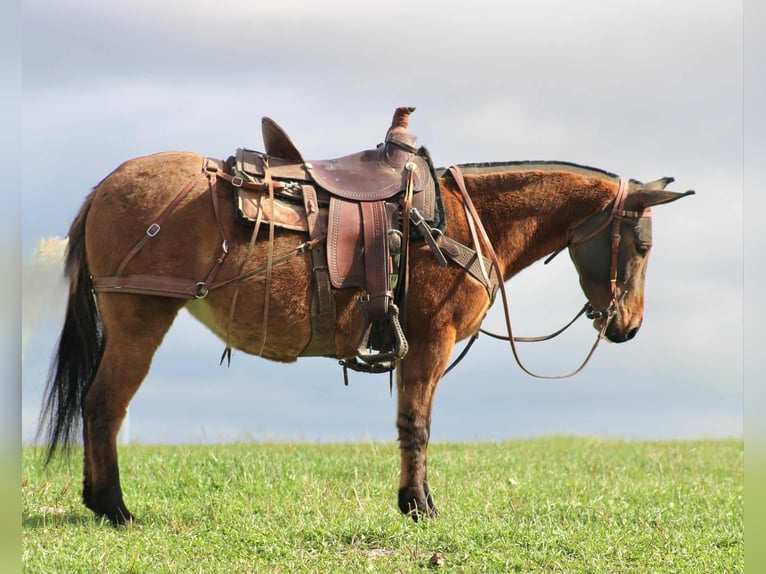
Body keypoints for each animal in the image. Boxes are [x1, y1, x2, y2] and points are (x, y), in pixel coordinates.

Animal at [37, 115, 694, 525]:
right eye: (642, 246)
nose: (627, 326)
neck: (461, 219)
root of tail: (106, 186)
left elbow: (409, 422)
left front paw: (412, 502)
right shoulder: (430, 341)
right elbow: (417, 425)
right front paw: (420, 506)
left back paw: (99, 502)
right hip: (139, 320)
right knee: (103, 404)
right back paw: (114, 507)